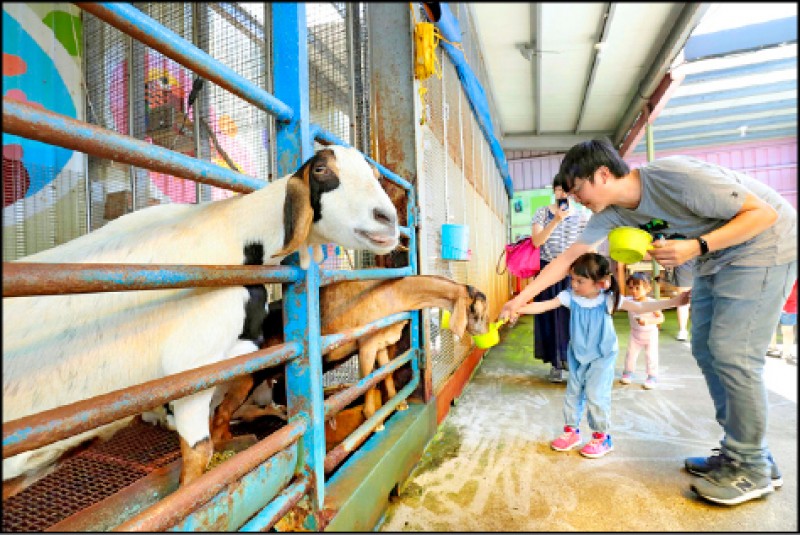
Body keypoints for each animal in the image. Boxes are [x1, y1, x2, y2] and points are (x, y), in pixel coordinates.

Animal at [0, 146, 400, 486]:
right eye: (320, 170)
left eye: (374, 174)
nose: (388, 219)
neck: (233, 238)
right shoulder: (190, 366)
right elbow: (197, 454)